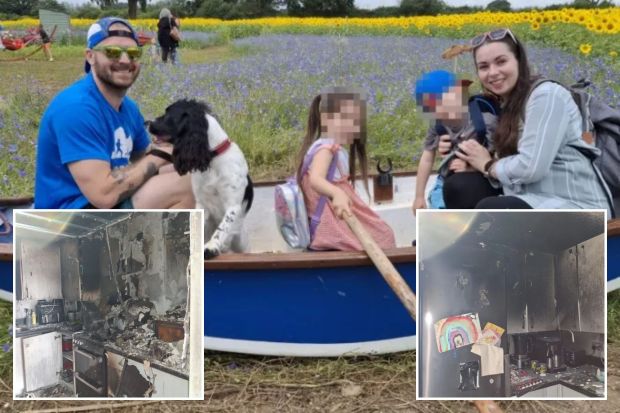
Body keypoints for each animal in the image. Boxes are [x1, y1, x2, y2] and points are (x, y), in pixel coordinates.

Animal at [149, 99, 253, 258]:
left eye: (168, 114)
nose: (146, 122)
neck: (213, 160)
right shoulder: (201, 203)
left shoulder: (233, 205)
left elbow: (223, 227)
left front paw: (211, 246)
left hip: (240, 241)